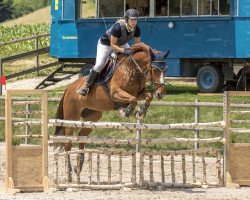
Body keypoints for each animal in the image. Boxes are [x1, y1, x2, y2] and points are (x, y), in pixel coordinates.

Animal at [53, 42, 169, 180]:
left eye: (166, 69)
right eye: (155, 69)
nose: (161, 94)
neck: (133, 70)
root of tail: (68, 88)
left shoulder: (140, 92)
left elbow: (147, 96)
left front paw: (141, 112)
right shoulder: (116, 93)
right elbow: (133, 99)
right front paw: (126, 111)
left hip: (93, 117)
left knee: (81, 137)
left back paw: (78, 167)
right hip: (71, 118)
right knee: (68, 143)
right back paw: (69, 173)